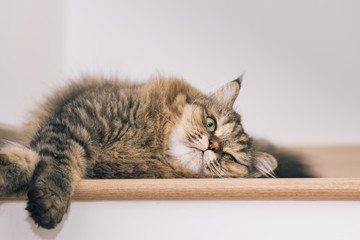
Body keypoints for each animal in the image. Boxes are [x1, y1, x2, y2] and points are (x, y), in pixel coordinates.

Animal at [0, 75, 290, 229]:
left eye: (229, 157)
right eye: (211, 124)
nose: (212, 145)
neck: (149, 144)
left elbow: (48, 161)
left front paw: (45, 203)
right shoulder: (78, 120)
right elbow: (54, 160)